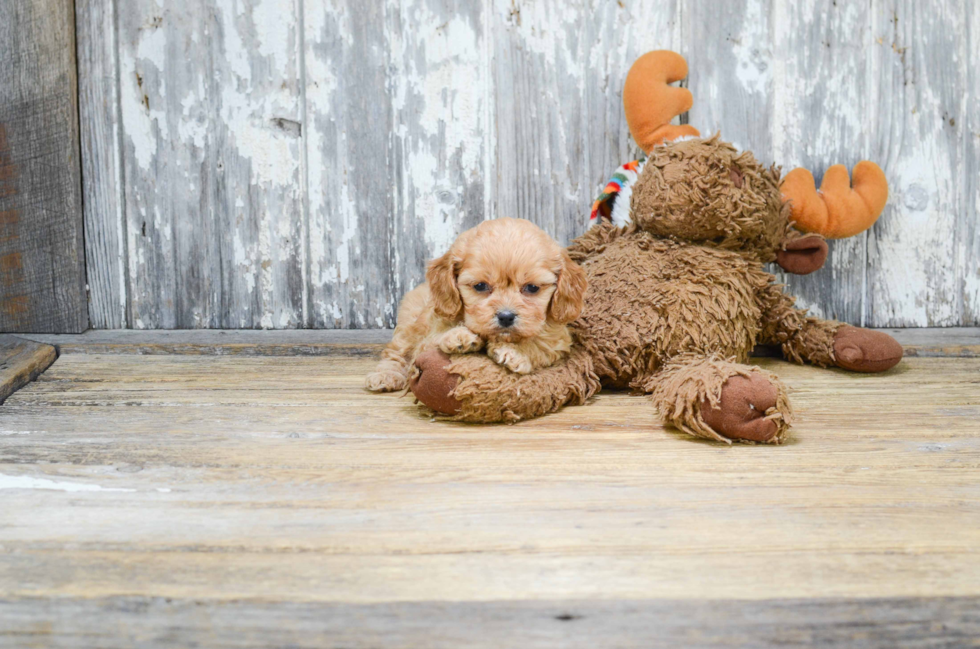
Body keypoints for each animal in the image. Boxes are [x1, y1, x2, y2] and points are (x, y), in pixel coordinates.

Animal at [364, 216, 584, 390]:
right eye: (480, 286)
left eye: (531, 288)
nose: (506, 317)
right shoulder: (428, 334)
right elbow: (435, 338)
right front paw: (458, 336)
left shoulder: (557, 339)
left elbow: (540, 343)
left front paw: (516, 352)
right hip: (408, 326)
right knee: (395, 353)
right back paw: (385, 376)